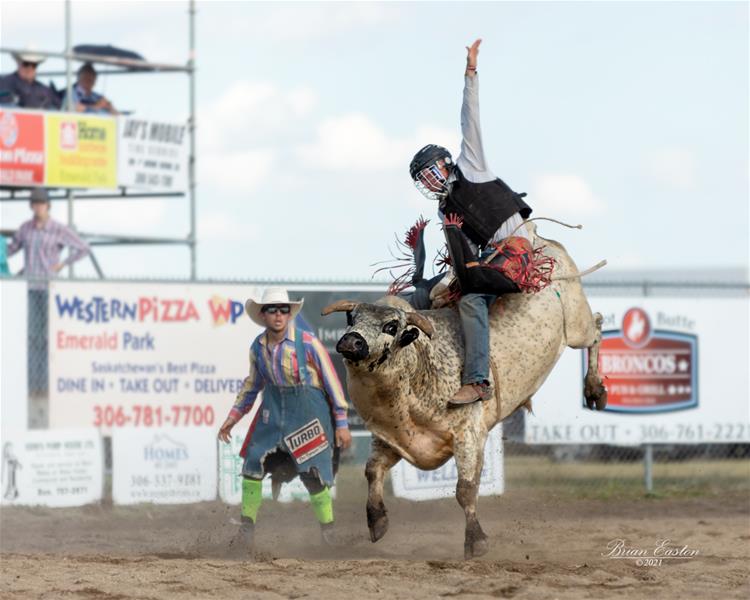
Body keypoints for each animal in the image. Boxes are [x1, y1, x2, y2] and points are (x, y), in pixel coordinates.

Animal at [324, 224, 612, 556]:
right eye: (352, 318)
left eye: (391, 327)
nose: (351, 341)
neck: (421, 368)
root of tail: (537, 239)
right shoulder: (394, 439)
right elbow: (372, 470)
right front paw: (376, 521)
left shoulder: (469, 434)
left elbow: (465, 489)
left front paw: (476, 540)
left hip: (577, 324)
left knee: (597, 328)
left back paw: (595, 389)